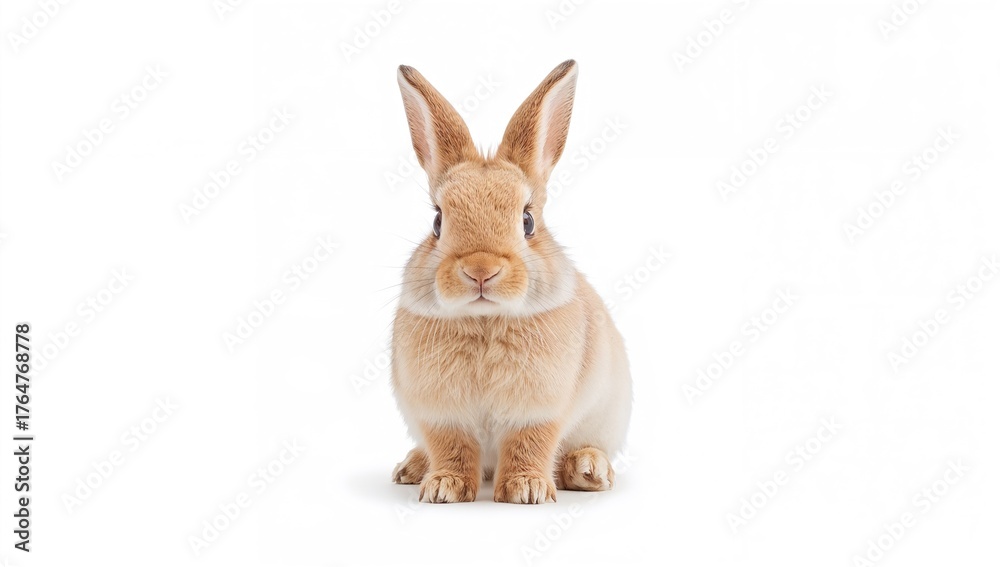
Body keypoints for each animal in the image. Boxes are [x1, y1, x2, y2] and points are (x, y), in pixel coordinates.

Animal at [389, 60, 632, 504]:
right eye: (437, 222)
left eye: (527, 220)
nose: (481, 270)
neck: (485, 320)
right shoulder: (440, 413)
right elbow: (451, 447)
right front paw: (444, 488)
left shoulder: (539, 410)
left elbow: (529, 443)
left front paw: (527, 490)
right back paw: (412, 468)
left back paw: (588, 470)